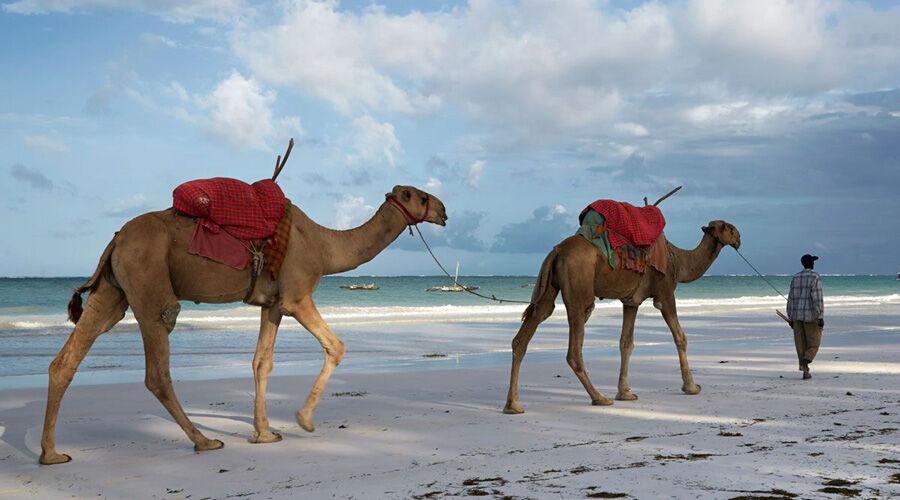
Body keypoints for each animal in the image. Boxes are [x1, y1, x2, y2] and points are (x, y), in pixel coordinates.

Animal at [39, 185, 447, 465]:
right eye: (419, 195)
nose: (444, 210)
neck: (324, 245)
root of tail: (116, 239)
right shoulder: (297, 295)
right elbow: (336, 345)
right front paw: (303, 420)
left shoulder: (273, 304)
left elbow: (261, 362)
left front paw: (264, 433)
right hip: (148, 282)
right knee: (158, 365)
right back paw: (204, 441)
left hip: (113, 291)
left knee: (69, 357)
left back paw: (52, 453)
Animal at [504, 220, 740, 413]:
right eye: (728, 227)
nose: (739, 237)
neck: (678, 260)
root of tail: (558, 250)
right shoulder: (664, 293)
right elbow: (680, 337)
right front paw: (691, 386)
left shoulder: (631, 301)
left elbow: (626, 343)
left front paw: (625, 393)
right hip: (579, 287)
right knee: (574, 347)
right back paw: (599, 398)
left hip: (549, 287)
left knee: (527, 332)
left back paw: (513, 405)